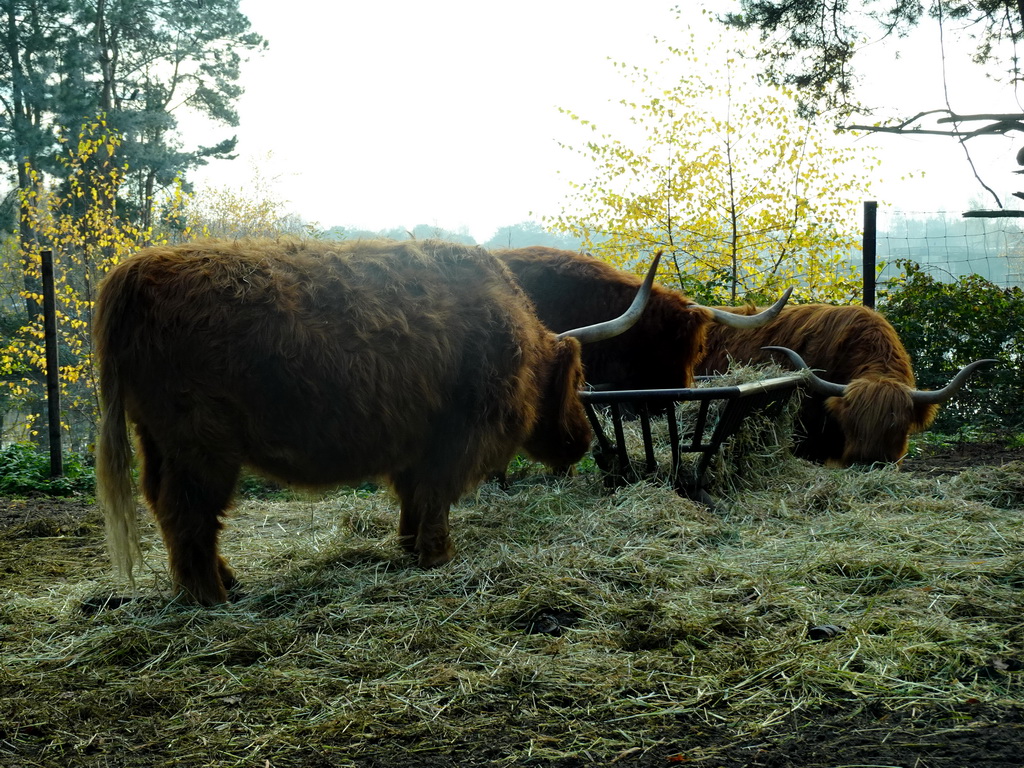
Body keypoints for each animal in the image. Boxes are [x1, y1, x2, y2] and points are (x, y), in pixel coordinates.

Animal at [96, 237, 655, 606]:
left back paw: (222, 581)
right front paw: (438, 555)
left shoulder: (417, 441)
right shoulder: (456, 437)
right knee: (189, 512)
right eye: (577, 379)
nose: (584, 443)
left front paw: (410, 547)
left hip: (158, 442)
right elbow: (436, 495)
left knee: (167, 507)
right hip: (200, 444)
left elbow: (415, 496)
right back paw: (212, 596)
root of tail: (138, 270)